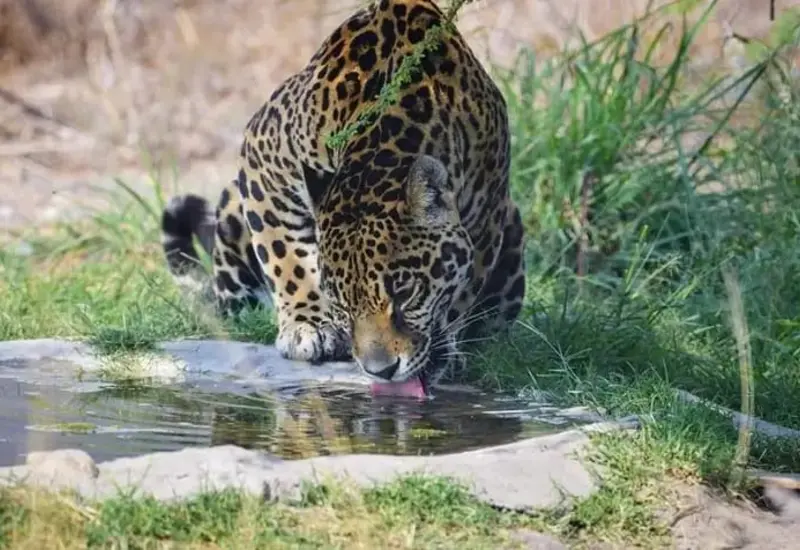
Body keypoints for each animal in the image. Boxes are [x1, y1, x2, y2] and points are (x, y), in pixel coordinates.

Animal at [160, 0, 526, 397]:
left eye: (405, 292)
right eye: (342, 303)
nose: (381, 370)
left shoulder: (489, 210)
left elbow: (466, 287)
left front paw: (445, 348)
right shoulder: (264, 149)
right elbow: (284, 256)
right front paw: (306, 327)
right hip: (230, 208)